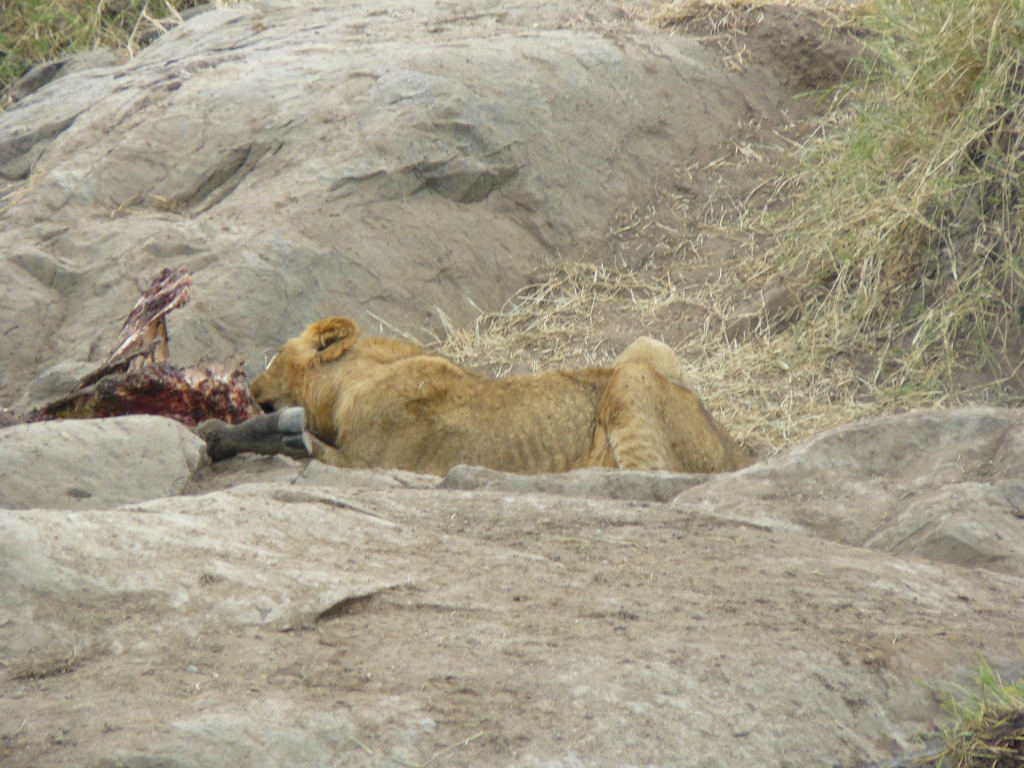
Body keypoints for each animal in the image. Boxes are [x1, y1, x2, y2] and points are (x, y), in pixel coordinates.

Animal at [197, 317, 753, 475]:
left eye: (275, 353)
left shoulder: (374, 461)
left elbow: (289, 439)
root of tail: (740, 453)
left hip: (632, 379)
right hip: (646, 348)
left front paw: (219, 431)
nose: (249, 383)